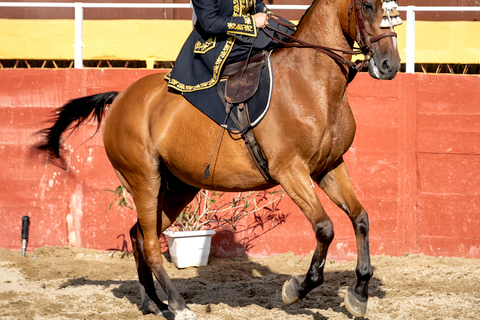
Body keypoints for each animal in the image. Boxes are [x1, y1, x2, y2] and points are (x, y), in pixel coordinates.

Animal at [38, 0, 402, 318]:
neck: (311, 83)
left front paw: (359, 294)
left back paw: (153, 302)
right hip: (145, 180)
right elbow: (325, 228)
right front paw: (296, 288)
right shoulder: (290, 170)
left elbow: (361, 218)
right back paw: (179, 306)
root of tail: (121, 97)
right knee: (151, 244)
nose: (390, 65)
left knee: (139, 235)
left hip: (177, 188)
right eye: (367, 5)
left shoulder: (329, 167)